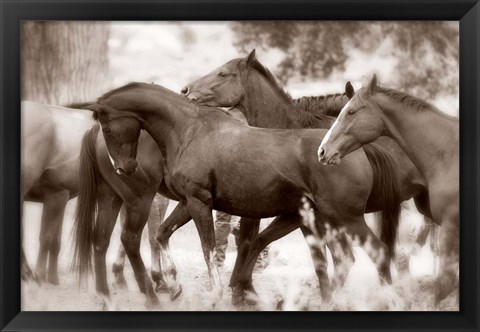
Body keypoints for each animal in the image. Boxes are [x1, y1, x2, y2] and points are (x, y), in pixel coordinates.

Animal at [83, 81, 402, 304]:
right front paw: (175, 285)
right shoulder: (190, 202)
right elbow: (164, 234)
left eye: (108, 127)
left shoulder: (198, 203)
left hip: (343, 218)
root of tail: (352, 152)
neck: (189, 131)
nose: (124, 167)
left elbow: (209, 249)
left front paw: (217, 294)